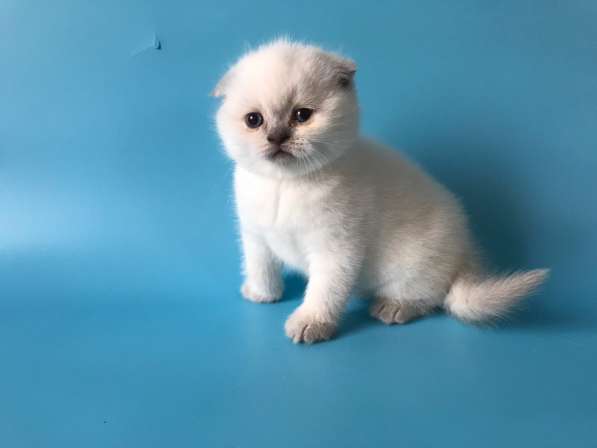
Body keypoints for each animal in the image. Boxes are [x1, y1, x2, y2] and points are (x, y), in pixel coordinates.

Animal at [212, 40, 548, 344]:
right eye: (254, 120)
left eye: (302, 116)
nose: (277, 137)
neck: (283, 184)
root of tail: (467, 253)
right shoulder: (256, 237)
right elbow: (261, 268)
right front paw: (261, 294)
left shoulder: (335, 249)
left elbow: (323, 291)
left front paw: (311, 324)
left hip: (410, 265)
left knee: (433, 296)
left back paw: (393, 308)